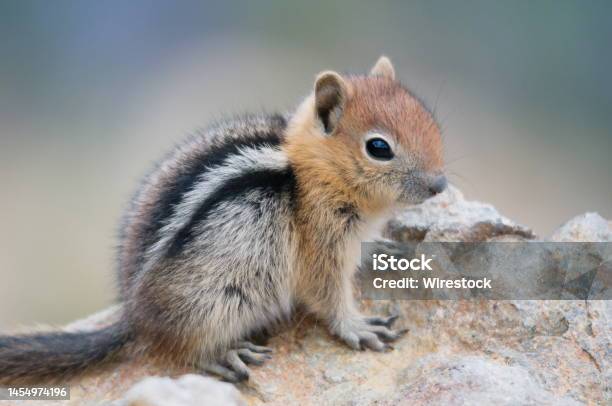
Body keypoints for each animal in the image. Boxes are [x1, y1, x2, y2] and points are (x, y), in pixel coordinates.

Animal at [0, 56, 444, 384]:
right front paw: (358, 327)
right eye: (379, 148)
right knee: (179, 351)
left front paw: (387, 247)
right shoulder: (322, 244)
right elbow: (328, 296)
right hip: (221, 301)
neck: (312, 171)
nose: (439, 184)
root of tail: (134, 316)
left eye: (428, 119)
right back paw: (224, 354)